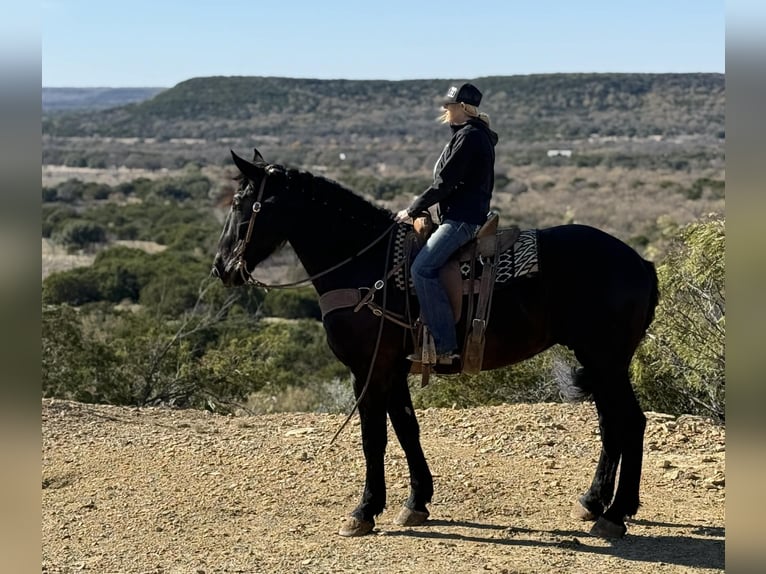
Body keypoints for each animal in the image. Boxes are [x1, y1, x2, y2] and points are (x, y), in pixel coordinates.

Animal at [212, 148, 659, 539]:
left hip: (606, 360)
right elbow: (407, 429)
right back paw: (593, 502)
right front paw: (416, 502)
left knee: (631, 422)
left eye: (240, 203)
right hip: (600, 362)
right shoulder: (394, 370)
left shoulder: (369, 370)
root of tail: (640, 262)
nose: (221, 268)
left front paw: (364, 511)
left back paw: (616, 514)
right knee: (611, 424)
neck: (365, 267)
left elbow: (373, 437)